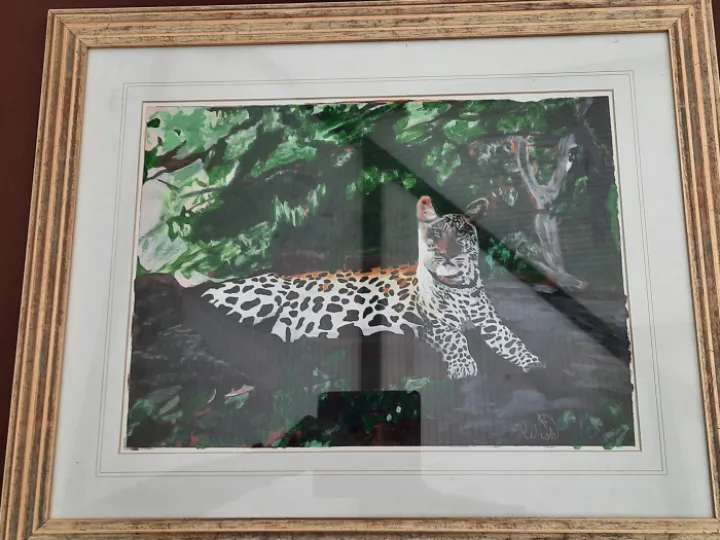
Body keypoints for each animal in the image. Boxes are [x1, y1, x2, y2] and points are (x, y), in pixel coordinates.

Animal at [198, 196, 544, 379]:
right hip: (266, 296)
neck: (460, 286)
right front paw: (463, 367)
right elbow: (456, 340)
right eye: (434, 236)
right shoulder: (433, 326)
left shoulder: (491, 323)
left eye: (460, 234)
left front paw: (534, 365)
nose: (446, 254)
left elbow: (514, 344)